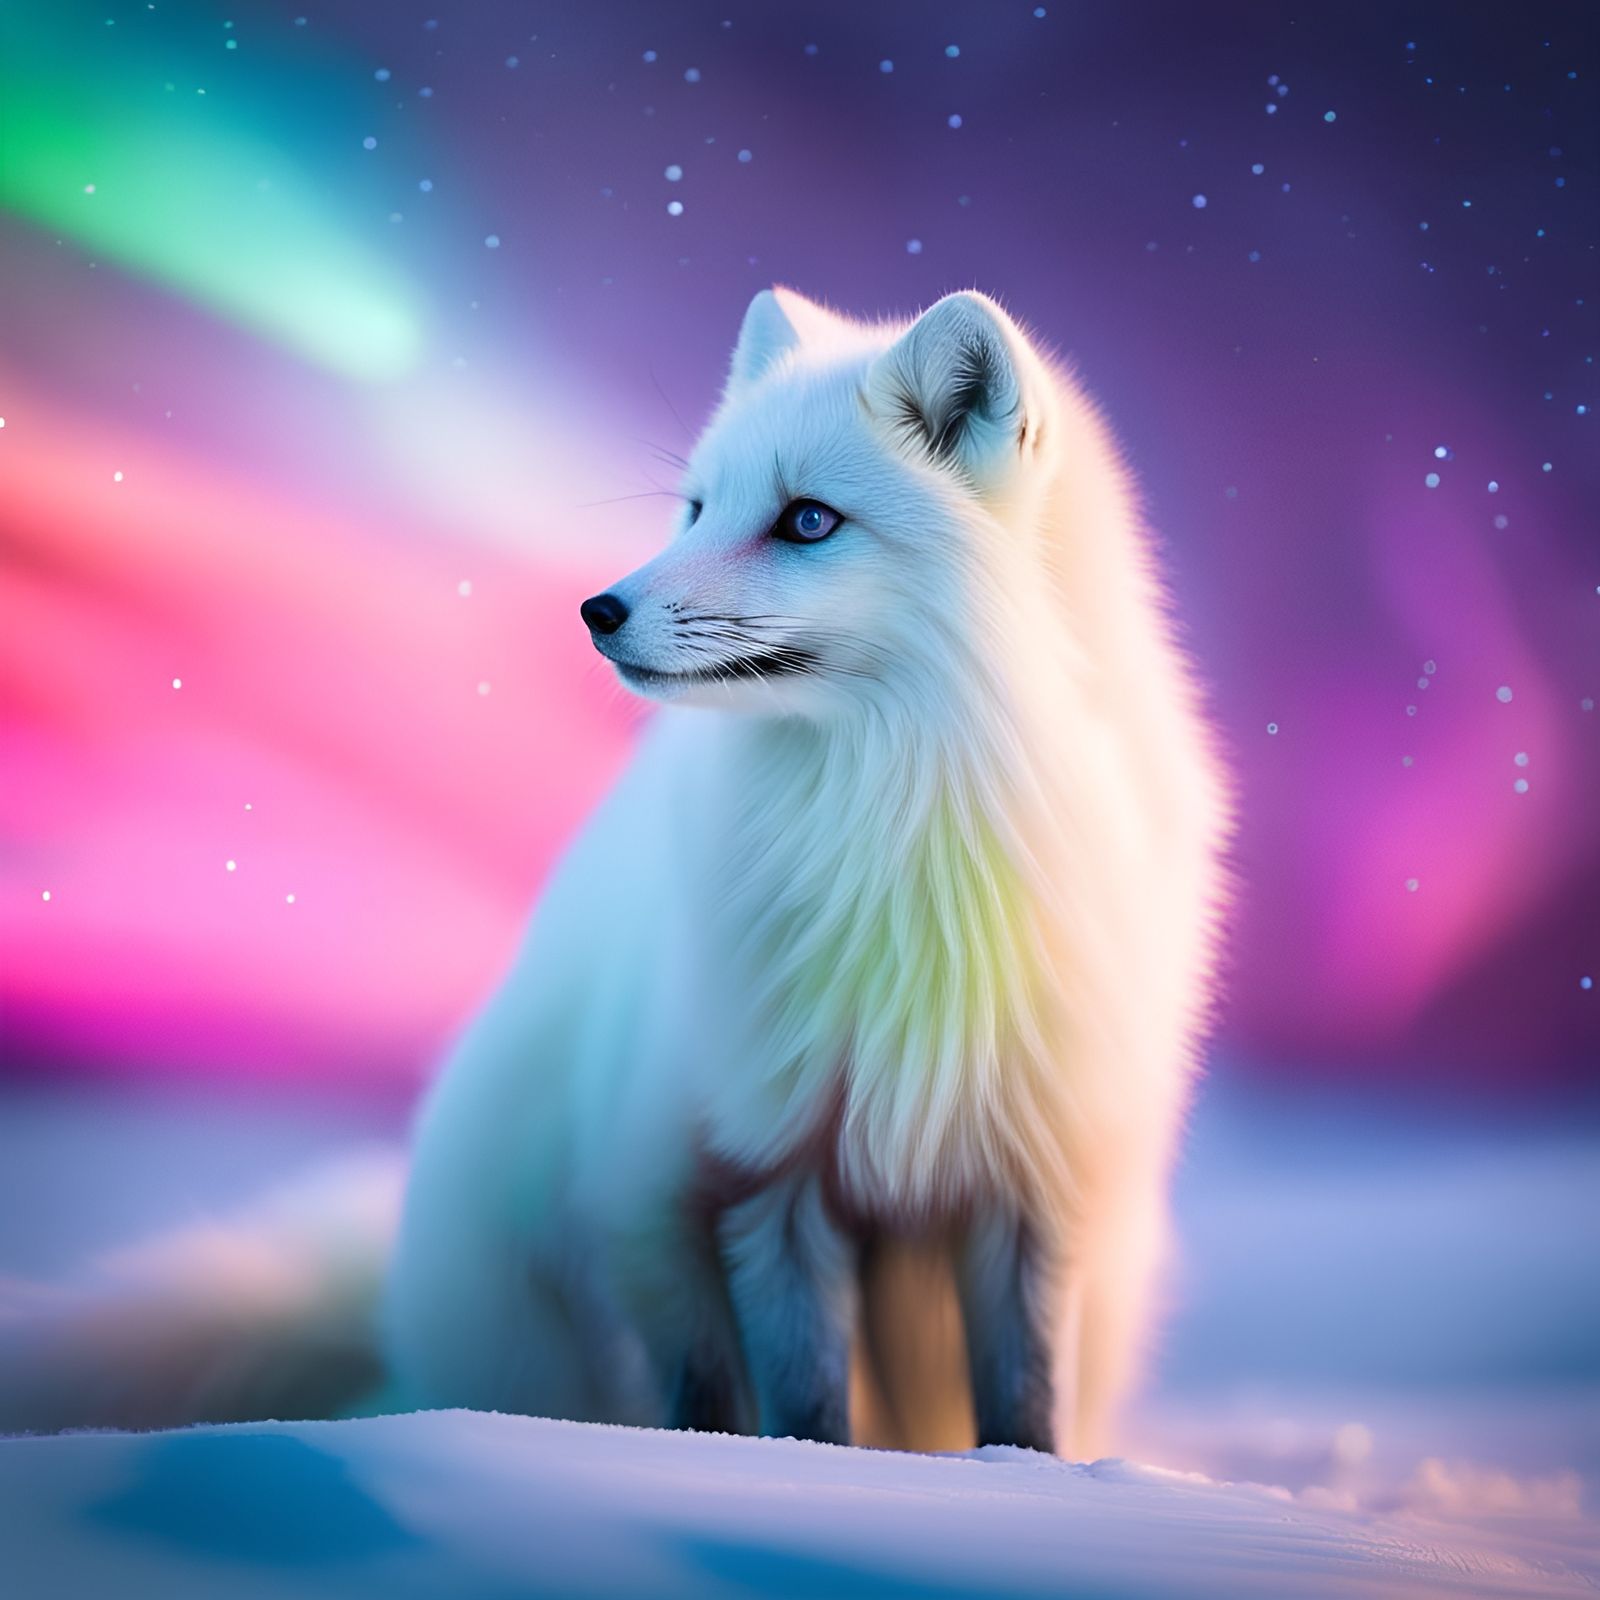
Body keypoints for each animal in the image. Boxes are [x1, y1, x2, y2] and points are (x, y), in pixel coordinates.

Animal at [0, 289, 1227, 1458]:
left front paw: (1022, 1484)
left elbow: (1027, 1408)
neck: (897, 825)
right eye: (695, 508)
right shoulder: (763, 1172)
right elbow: (805, 1405)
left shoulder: (1035, 1183)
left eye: (807, 520)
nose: (597, 609)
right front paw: (817, 1483)